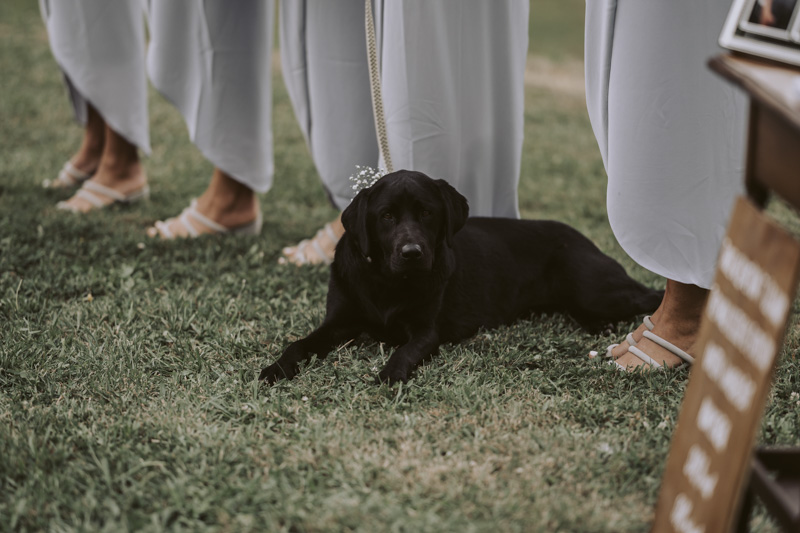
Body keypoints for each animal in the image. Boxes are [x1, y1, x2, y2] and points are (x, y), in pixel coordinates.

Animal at [262, 170, 664, 382]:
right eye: (386, 216)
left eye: (427, 213)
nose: (412, 253)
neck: (388, 282)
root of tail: (582, 237)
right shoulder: (338, 323)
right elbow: (298, 344)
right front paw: (275, 369)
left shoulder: (425, 332)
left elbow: (404, 353)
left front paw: (388, 377)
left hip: (594, 291)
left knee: (651, 295)